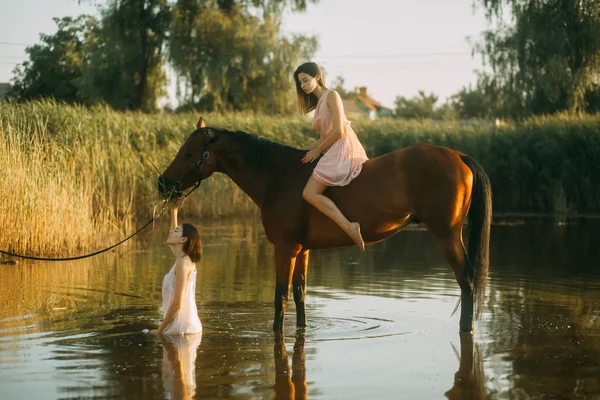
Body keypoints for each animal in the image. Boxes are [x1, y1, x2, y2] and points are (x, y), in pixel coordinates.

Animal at [159, 118, 492, 334]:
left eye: (189, 152)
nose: (162, 183)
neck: (279, 176)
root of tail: (459, 155)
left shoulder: (285, 248)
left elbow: (280, 297)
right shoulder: (302, 250)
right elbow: (300, 296)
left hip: (446, 234)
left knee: (466, 279)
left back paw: (466, 330)